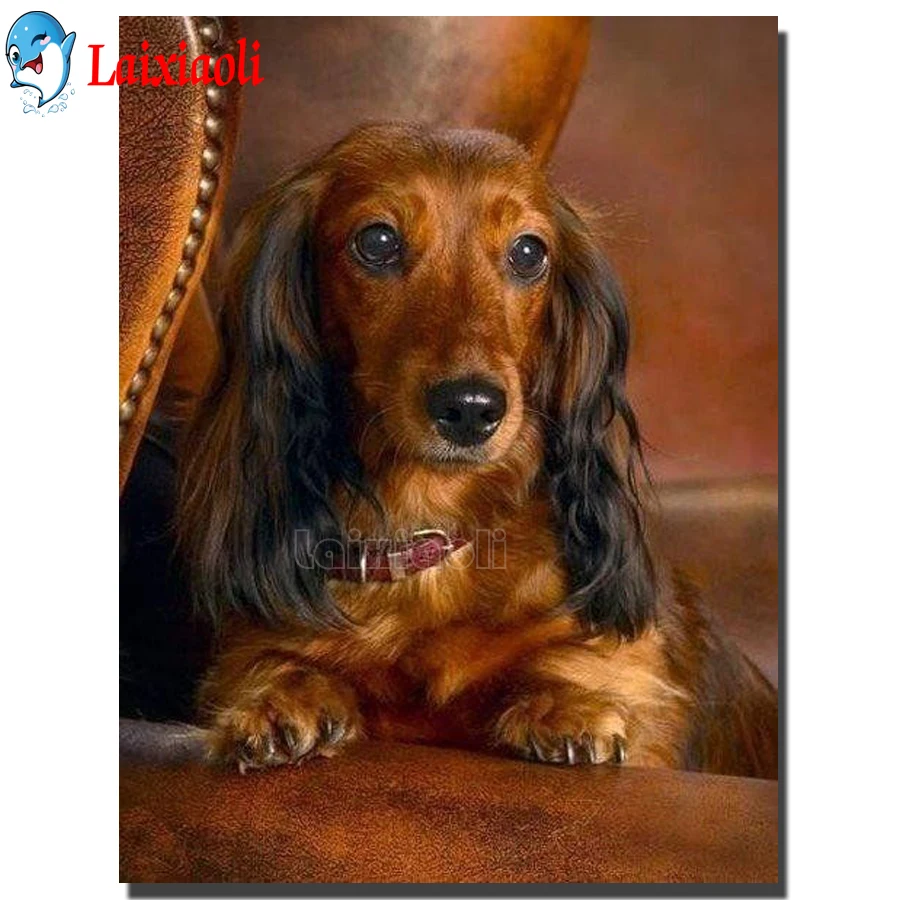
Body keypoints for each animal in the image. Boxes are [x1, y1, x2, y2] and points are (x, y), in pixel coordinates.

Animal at [177, 123, 778, 777]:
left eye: (528, 252)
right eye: (377, 242)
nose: (471, 408)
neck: (430, 532)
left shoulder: (628, 658)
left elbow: (586, 662)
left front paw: (568, 707)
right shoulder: (259, 638)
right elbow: (272, 661)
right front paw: (279, 700)